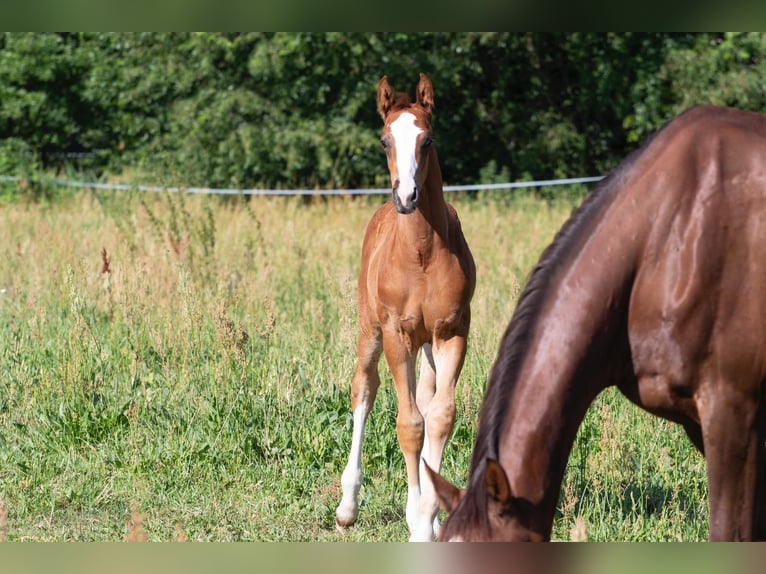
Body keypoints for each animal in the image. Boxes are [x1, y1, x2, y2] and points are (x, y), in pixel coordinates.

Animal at [334, 74, 474, 544]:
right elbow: (409, 425)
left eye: (427, 139)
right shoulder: (398, 334)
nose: (407, 196)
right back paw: (347, 507)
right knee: (364, 389)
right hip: (371, 331)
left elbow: (440, 417)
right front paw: (416, 521)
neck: (423, 253)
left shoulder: (453, 332)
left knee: (427, 400)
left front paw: (430, 517)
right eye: (384, 140)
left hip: (427, 346)